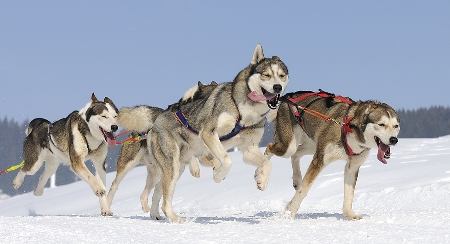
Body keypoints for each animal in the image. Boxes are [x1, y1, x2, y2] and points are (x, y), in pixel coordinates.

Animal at [105, 81, 218, 218]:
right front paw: (196, 168)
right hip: (127, 165)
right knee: (114, 186)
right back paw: (107, 208)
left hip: (155, 174)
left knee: (145, 194)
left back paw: (151, 212)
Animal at [118, 43, 290, 222]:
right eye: (266, 75)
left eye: (282, 75)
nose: (277, 87)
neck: (244, 112)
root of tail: (159, 117)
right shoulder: (209, 134)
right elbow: (227, 159)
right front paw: (218, 175)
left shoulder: (249, 149)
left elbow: (267, 163)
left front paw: (262, 180)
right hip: (172, 163)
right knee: (165, 199)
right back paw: (175, 219)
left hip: (177, 167)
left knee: (159, 190)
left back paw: (156, 214)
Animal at [266, 90, 400, 220]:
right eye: (381, 124)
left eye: (396, 126)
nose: (394, 140)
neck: (349, 128)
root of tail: (290, 95)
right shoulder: (319, 161)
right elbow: (303, 190)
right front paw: (289, 213)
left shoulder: (352, 166)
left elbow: (349, 194)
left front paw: (350, 214)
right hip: (288, 146)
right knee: (269, 149)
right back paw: (263, 177)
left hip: (312, 146)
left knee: (296, 154)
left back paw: (297, 179)